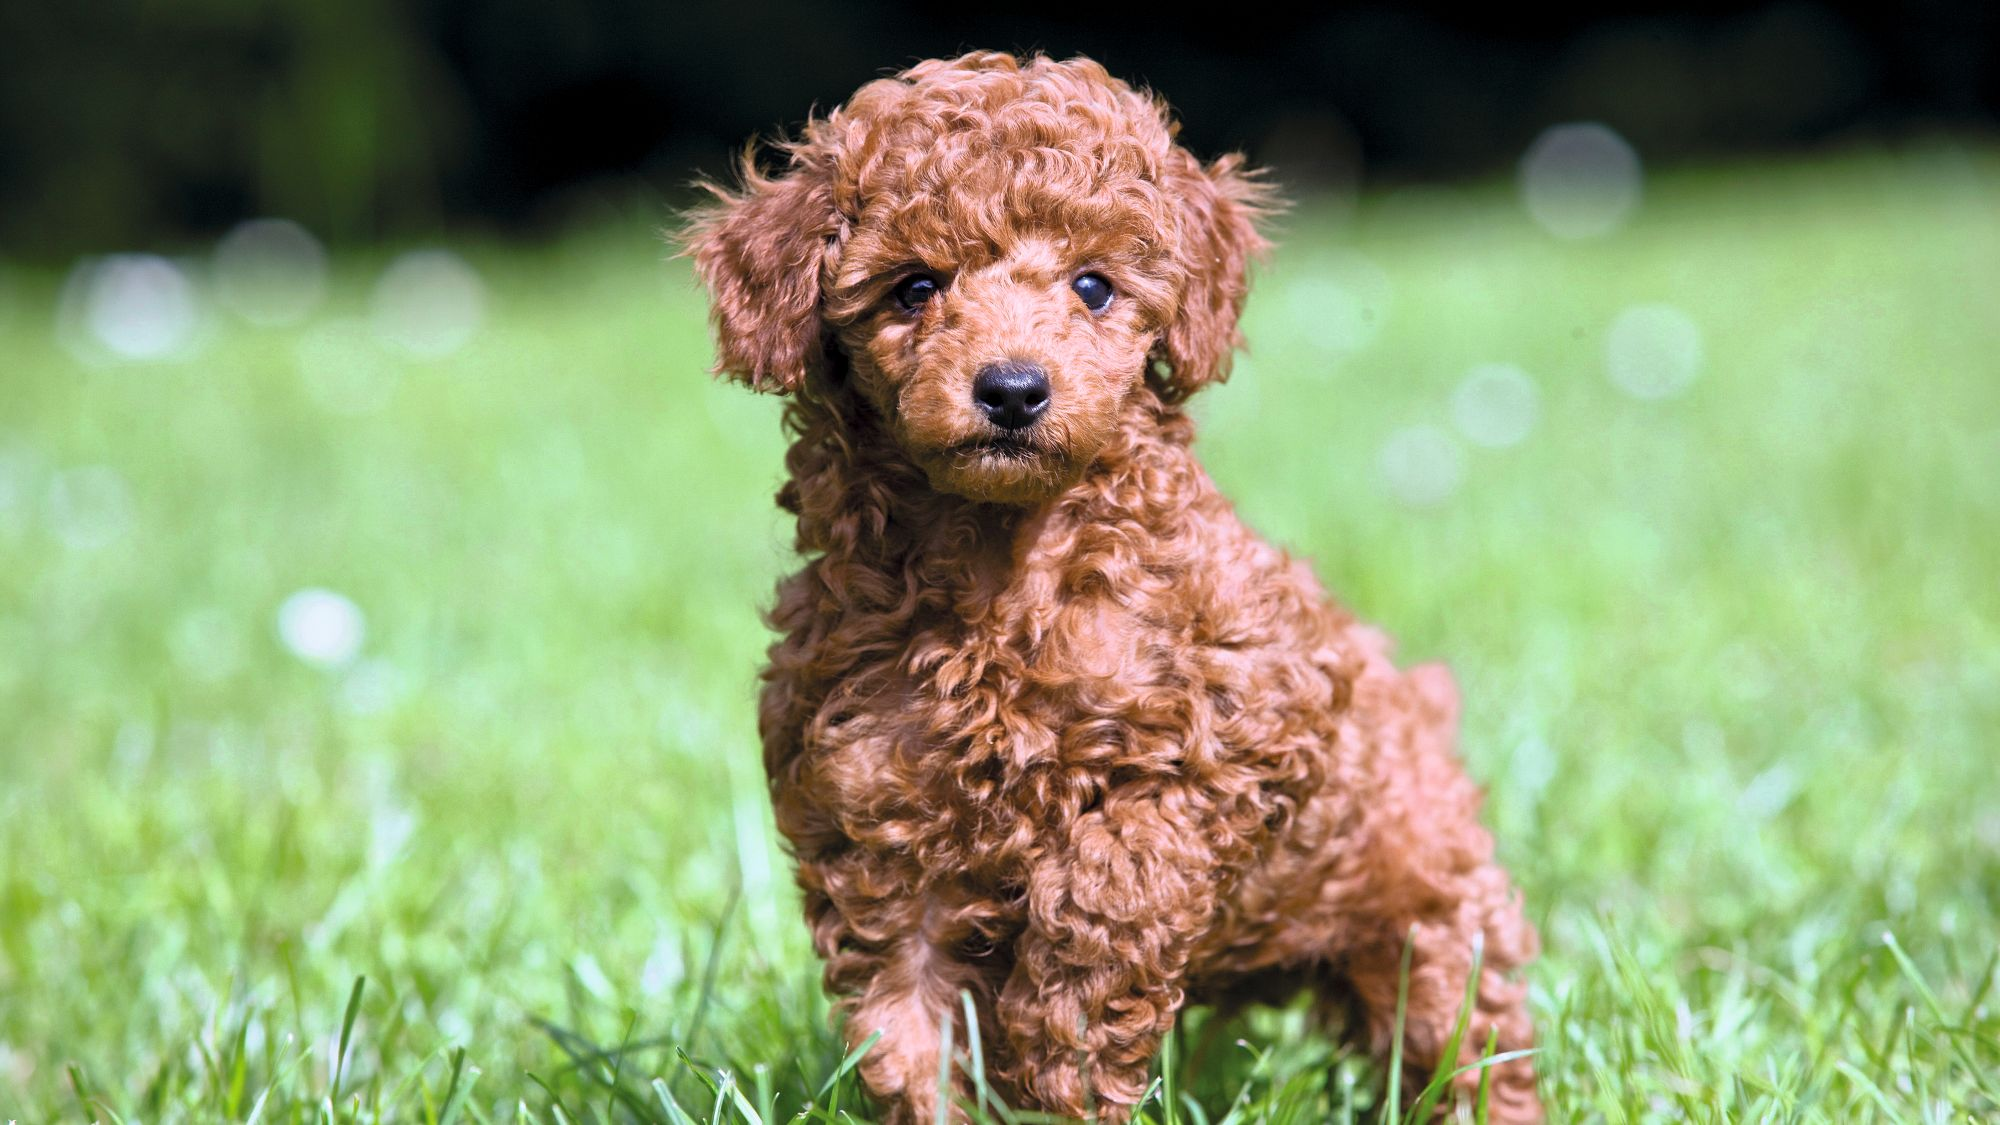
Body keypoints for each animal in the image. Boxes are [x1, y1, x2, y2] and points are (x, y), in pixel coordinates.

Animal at [680, 48, 1536, 1112]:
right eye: (914, 289)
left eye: (1093, 286)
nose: (1012, 388)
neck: (1002, 571)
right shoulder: (873, 825)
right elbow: (904, 1027)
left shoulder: (1256, 719)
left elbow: (1118, 868)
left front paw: (1061, 1041)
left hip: (1430, 915)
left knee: (1471, 1042)